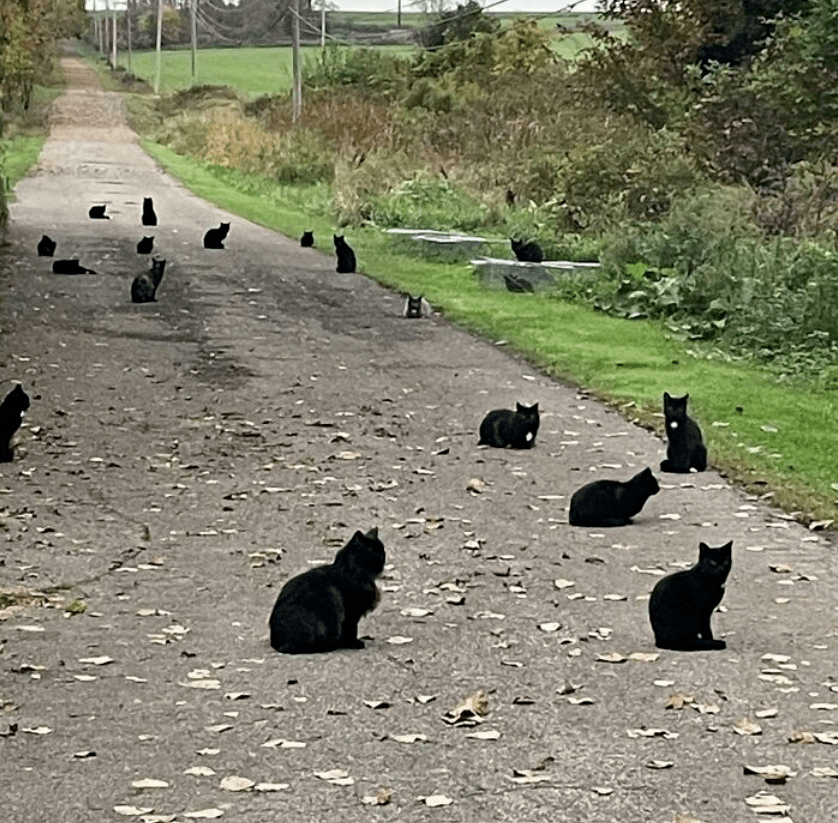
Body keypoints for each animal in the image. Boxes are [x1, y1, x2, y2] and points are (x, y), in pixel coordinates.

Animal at [270, 528, 388, 656]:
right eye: (374, 551)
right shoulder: (351, 613)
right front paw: (353, 643)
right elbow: (351, 630)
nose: (383, 557)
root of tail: (278, 644)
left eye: (382, 549)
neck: (352, 572)